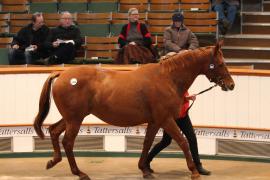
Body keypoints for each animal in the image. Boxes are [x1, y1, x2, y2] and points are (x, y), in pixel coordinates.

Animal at [33, 41, 234, 179]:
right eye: (221, 64)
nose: (231, 85)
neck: (168, 78)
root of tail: (61, 74)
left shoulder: (155, 121)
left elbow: (147, 143)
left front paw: (144, 169)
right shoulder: (166, 119)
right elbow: (183, 141)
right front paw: (194, 171)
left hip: (70, 118)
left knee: (53, 131)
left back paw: (53, 161)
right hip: (75, 120)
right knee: (67, 141)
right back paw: (79, 173)